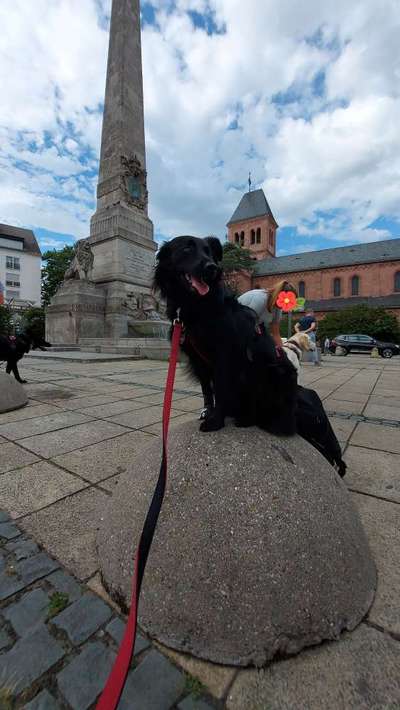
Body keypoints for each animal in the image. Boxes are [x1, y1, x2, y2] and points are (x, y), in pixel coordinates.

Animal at [153, 235, 296, 434]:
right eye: (187, 249)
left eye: (208, 252)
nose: (212, 268)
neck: (197, 306)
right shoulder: (199, 361)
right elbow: (207, 391)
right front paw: (208, 412)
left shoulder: (224, 356)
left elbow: (220, 389)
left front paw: (215, 421)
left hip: (273, 372)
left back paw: (248, 419)